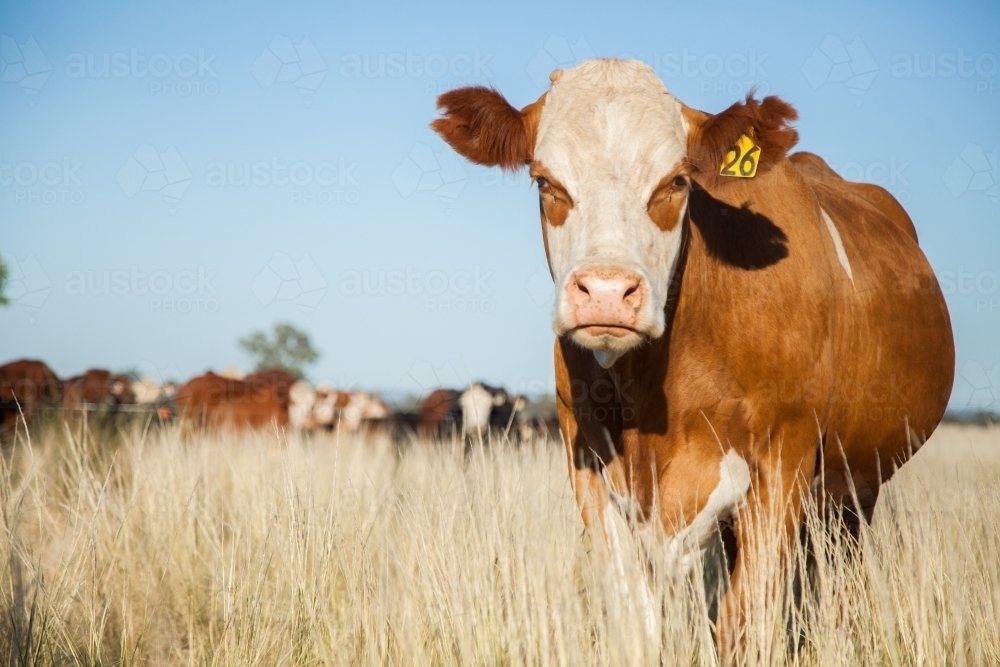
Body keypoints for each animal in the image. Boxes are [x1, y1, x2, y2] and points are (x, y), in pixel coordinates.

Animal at [431, 58, 954, 654]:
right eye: (545, 181)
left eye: (677, 181)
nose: (607, 292)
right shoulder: (589, 470)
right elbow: (633, 618)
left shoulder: (783, 466)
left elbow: (745, 623)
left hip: (855, 484)